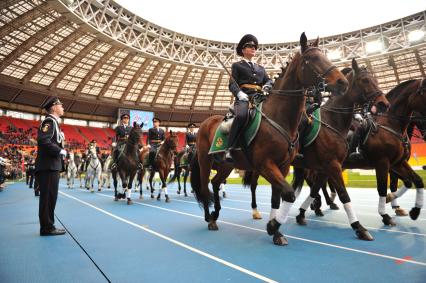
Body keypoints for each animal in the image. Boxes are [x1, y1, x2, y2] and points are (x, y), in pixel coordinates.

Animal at [191, 32, 348, 246]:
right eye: (312, 59)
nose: (343, 83)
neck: (279, 117)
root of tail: (205, 123)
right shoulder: (265, 164)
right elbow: (289, 194)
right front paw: (273, 226)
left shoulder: (282, 166)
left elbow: (278, 197)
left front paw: (276, 232)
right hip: (205, 161)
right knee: (204, 186)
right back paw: (209, 218)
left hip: (227, 165)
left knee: (215, 183)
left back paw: (215, 214)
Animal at [243, 58, 390, 241]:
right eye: (365, 80)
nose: (384, 104)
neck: (332, 120)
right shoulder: (332, 165)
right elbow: (343, 194)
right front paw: (359, 227)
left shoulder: (325, 167)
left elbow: (315, 189)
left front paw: (301, 214)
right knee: (255, 185)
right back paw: (256, 211)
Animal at [342, 79, 426, 224]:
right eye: (424, 92)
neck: (390, 125)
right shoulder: (383, 164)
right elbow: (383, 188)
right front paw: (386, 214)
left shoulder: (398, 163)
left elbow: (415, 180)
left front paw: (414, 211)